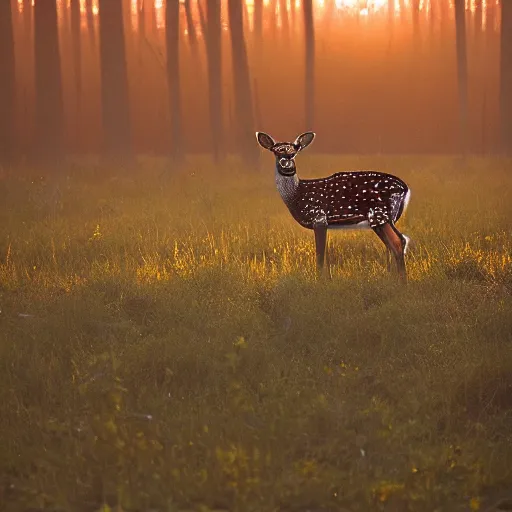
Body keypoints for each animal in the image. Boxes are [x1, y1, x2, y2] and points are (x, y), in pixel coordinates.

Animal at [256, 131, 412, 280]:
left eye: (294, 151)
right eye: (276, 152)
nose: (287, 165)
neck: (297, 195)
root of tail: (405, 189)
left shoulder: (319, 217)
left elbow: (320, 255)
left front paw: (319, 281)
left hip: (380, 214)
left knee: (398, 242)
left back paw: (401, 282)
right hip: (381, 219)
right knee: (397, 243)